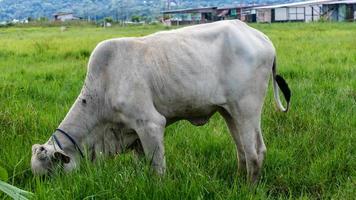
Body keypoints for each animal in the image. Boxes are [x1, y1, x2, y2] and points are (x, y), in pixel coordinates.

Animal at [30, 20, 290, 183]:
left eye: (49, 175)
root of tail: (261, 37)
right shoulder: (133, 134)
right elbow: (142, 164)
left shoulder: (150, 124)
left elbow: (157, 169)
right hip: (229, 112)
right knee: (242, 151)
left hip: (247, 109)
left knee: (256, 152)